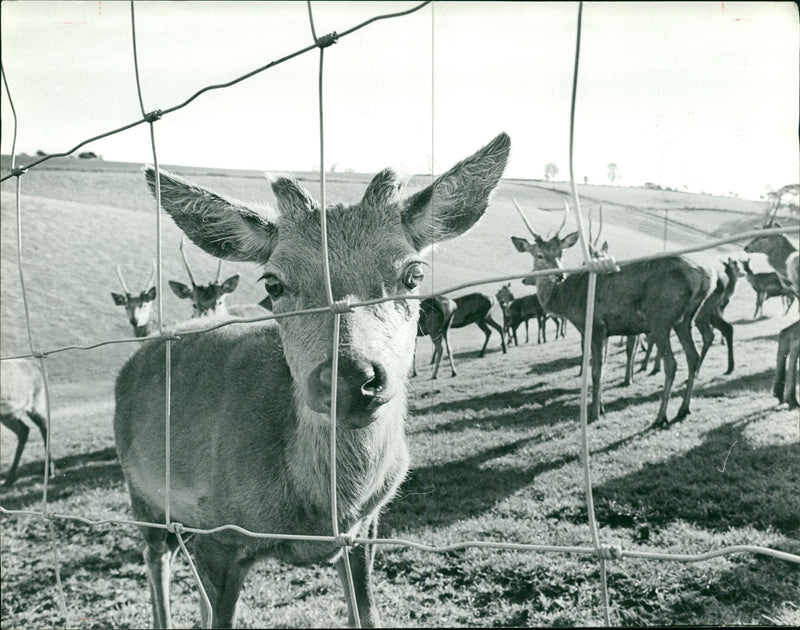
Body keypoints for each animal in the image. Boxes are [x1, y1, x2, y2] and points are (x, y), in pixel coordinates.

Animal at [0, 358, 56, 486]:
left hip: (37, 404)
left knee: (45, 429)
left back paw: (50, 471)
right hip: (8, 415)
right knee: (24, 430)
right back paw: (10, 479)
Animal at [115, 131, 510, 628]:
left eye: (414, 273)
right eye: (273, 284)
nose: (350, 378)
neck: (322, 510)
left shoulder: (365, 528)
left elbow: (366, 614)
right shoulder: (216, 531)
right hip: (142, 495)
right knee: (156, 565)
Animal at [512, 201, 712, 430]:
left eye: (560, 254)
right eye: (540, 255)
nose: (559, 275)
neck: (567, 300)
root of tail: (705, 276)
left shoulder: (595, 326)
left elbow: (596, 370)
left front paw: (593, 414)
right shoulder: (606, 330)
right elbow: (603, 367)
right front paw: (601, 408)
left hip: (660, 319)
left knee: (672, 364)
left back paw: (660, 417)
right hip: (684, 320)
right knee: (692, 357)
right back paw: (683, 410)